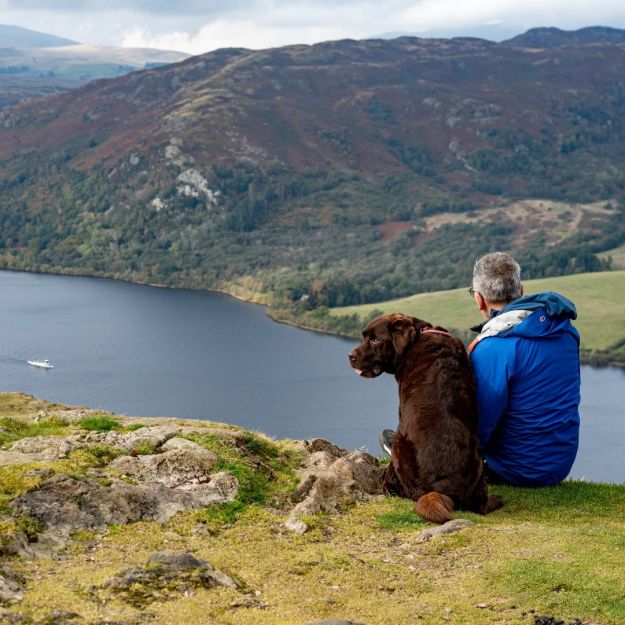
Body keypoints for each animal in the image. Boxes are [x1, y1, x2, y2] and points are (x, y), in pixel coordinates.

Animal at [346, 312, 502, 520]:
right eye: (364, 336)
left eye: (375, 339)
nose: (350, 356)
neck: (419, 336)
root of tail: (440, 489)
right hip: (478, 463)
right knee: (481, 505)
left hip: (399, 443)